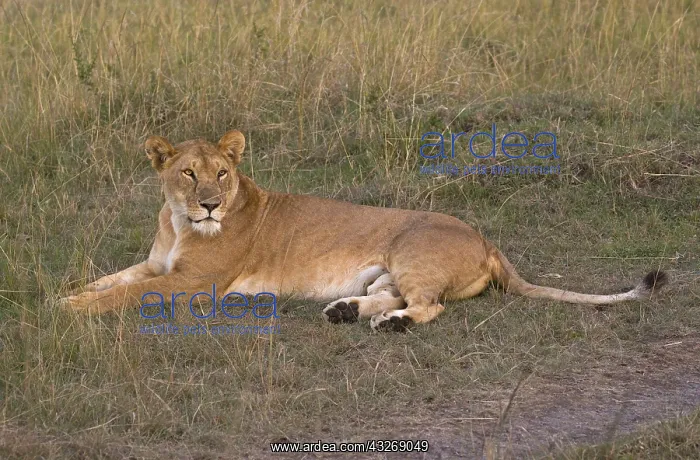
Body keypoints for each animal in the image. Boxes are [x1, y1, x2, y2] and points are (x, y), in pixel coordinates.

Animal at [60, 130, 667, 331]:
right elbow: (109, 280)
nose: (209, 205)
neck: (178, 220)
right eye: (188, 172)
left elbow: (125, 295)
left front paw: (69, 311)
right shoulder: (157, 264)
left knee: (427, 305)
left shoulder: (191, 283)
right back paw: (345, 311)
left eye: (222, 174)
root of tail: (487, 239)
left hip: (412, 253)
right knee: (391, 294)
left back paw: (390, 325)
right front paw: (65, 295)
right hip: (387, 271)